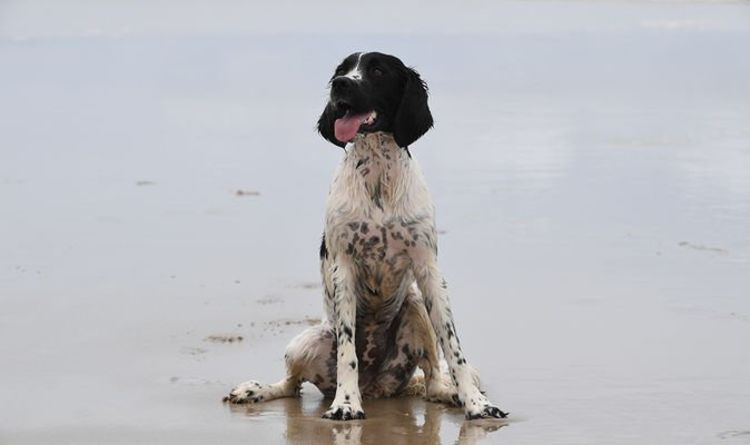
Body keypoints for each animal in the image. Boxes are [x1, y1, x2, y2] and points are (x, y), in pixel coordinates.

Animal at [220, 52, 508, 420]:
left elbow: (454, 348)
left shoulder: (429, 270)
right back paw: (255, 390)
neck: (378, 177)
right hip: (304, 343)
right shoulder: (344, 268)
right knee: (290, 385)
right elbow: (347, 352)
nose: (340, 85)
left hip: (415, 307)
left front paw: (477, 404)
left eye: (378, 71)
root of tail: (376, 389)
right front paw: (345, 403)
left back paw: (452, 395)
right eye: (341, 70)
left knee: (431, 382)